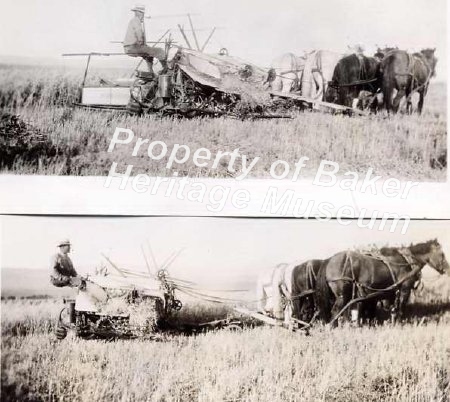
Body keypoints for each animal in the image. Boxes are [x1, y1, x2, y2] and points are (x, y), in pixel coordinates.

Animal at [314, 240, 448, 326]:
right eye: (442, 254)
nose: (447, 269)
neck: (406, 261)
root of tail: (329, 260)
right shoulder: (404, 289)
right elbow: (400, 309)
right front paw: (398, 324)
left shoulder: (390, 293)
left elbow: (392, 310)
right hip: (343, 295)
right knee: (335, 312)